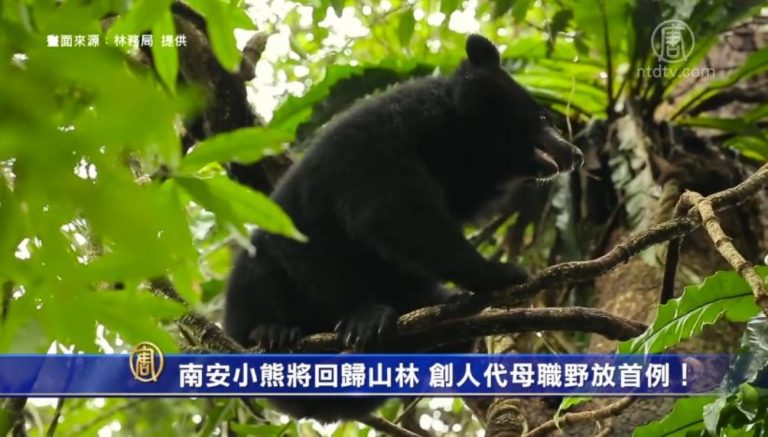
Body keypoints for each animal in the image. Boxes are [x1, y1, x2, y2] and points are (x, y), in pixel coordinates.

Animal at [223, 34, 583, 422]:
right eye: (544, 117)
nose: (575, 154)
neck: (449, 136)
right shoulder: (375, 144)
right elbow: (393, 214)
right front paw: (501, 273)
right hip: (257, 281)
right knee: (262, 273)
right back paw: (275, 331)